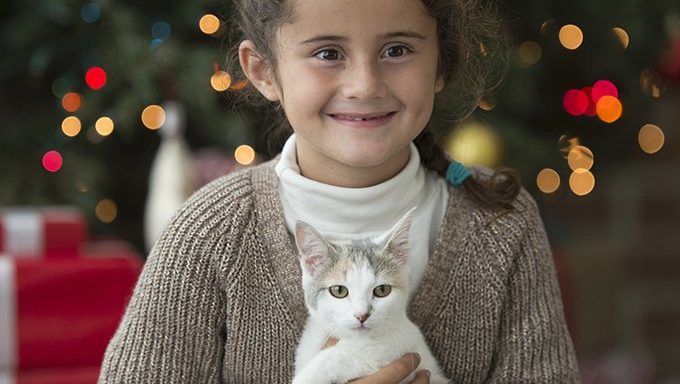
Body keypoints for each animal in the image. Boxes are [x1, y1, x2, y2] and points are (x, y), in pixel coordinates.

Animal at [294, 210, 448, 384]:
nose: (362, 315)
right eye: (339, 291)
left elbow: (347, 355)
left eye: (382, 290)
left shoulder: (405, 339)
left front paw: (311, 374)